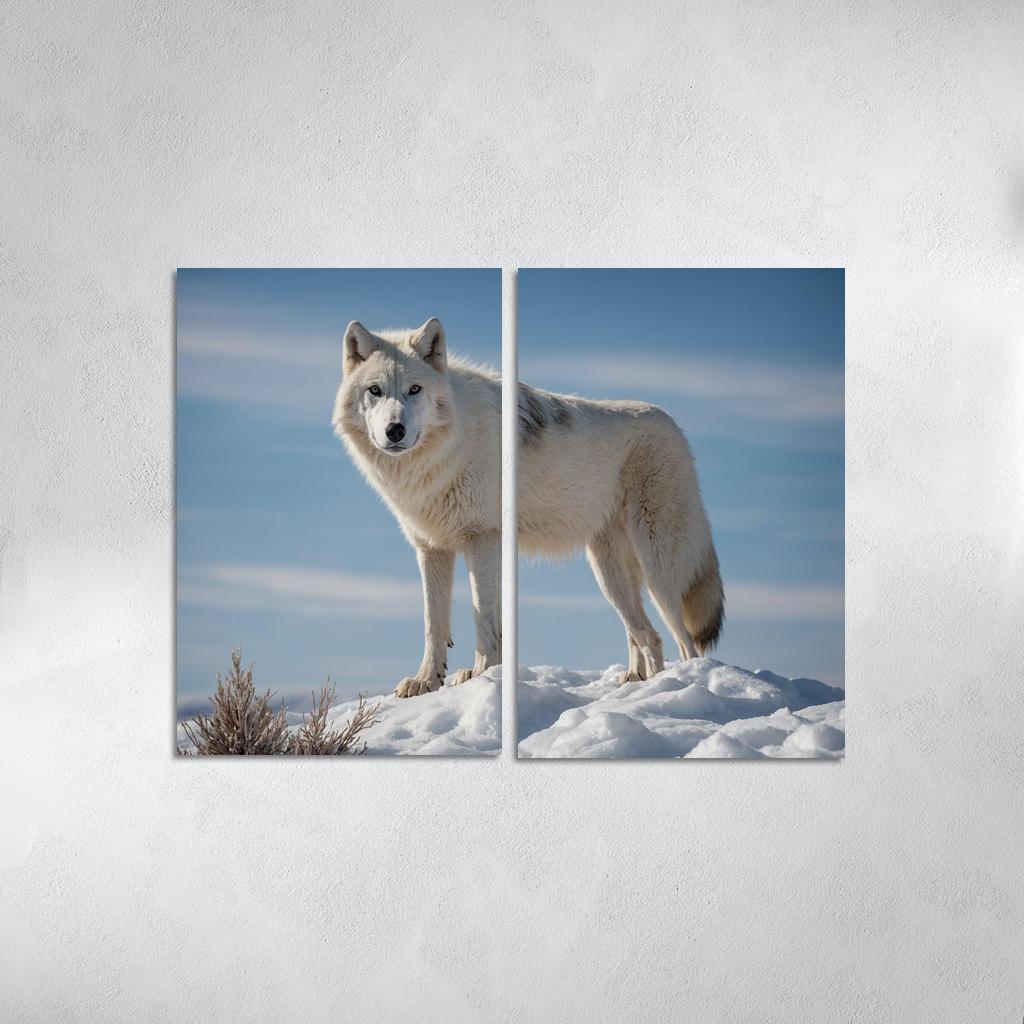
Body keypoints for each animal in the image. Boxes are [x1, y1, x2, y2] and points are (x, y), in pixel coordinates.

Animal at [332, 318, 502, 698]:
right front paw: (426, 680)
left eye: (414, 389)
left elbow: (484, 615)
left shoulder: (483, 538)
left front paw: (485, 675)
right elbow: (433, 622)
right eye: (375, 390)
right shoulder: (431, 547)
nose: (395, 430)